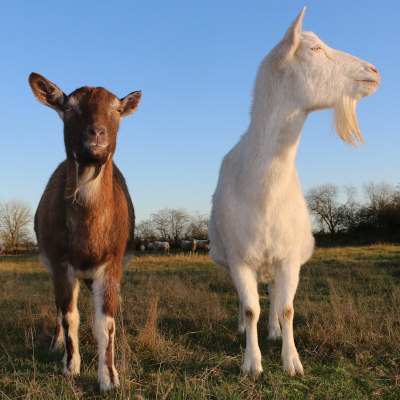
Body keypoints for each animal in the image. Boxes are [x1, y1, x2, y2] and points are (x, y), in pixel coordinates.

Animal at [28, 72, 141, 390]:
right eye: (70, 107)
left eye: (117, 109)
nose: (97, 134)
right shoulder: (60, 262)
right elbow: (69, 316)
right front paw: (71, 366)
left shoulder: (111, 262)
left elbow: (105, 322)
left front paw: (110, 377)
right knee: (60, 309)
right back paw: (56, 343)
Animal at [208, 7, 380, 376]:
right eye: (314, 48)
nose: (373, 71)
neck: (263, 189)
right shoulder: (239, 258)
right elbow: (250, 308)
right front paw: (252, 364)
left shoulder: (288, 258)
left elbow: (287, 309)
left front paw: (292, 362)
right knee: (250, 300)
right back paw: (245, 329)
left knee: (273, 294)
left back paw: (273, 332)